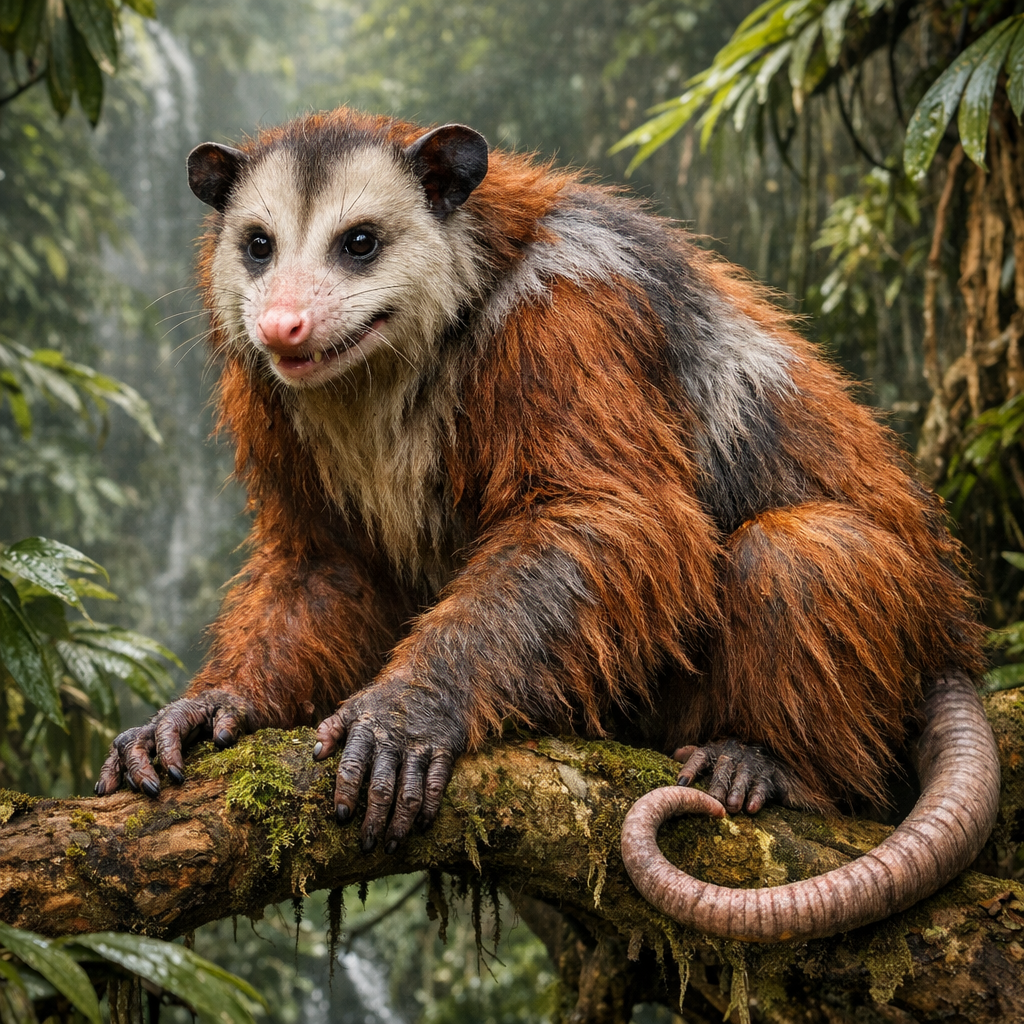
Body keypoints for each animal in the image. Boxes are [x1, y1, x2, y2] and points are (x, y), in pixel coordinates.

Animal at [95, 108, 1000, 941]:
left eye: (359, 242)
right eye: (257, 245)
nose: (282, 325)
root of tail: (953, 638)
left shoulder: (571, 317)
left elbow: (609, 515)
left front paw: (408, 710)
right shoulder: (264, 394)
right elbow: (325, 565)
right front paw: (212, 707)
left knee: (803, 552)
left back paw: (766, 762)